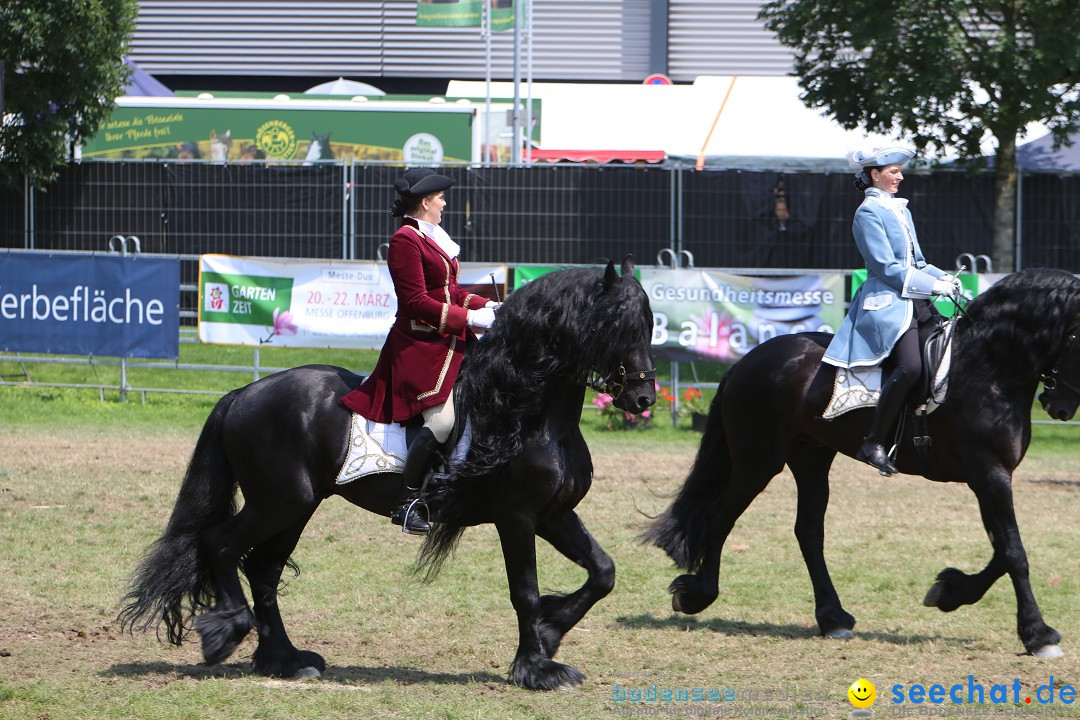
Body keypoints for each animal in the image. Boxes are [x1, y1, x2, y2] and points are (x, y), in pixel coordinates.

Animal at [120, 260, 656, 690]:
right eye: (615, 325)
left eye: (649, 325)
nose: (643, 398)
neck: (527, 410)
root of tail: (242, 394)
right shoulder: (518, 517)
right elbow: (523, 590)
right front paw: (538, 668)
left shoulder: (554, 513)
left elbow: (603, 571)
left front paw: (550, 629)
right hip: (280, 501)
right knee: (222, 545)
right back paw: (228, 630)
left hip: (296, 505)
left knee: (263, 570)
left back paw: (286, 660)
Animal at [643, 268, 1080, 660]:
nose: (1060, 406)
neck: (986, 369)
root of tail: (749, 360)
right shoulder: (989, 475)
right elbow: (1014, 552)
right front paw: (1038, 635)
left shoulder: (990, 478)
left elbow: (1003, 550)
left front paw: (950, 591)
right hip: (758, 461)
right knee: (720, 516)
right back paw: (696, 595)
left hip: (810, 458)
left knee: (808, 532)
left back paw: (832, 618)